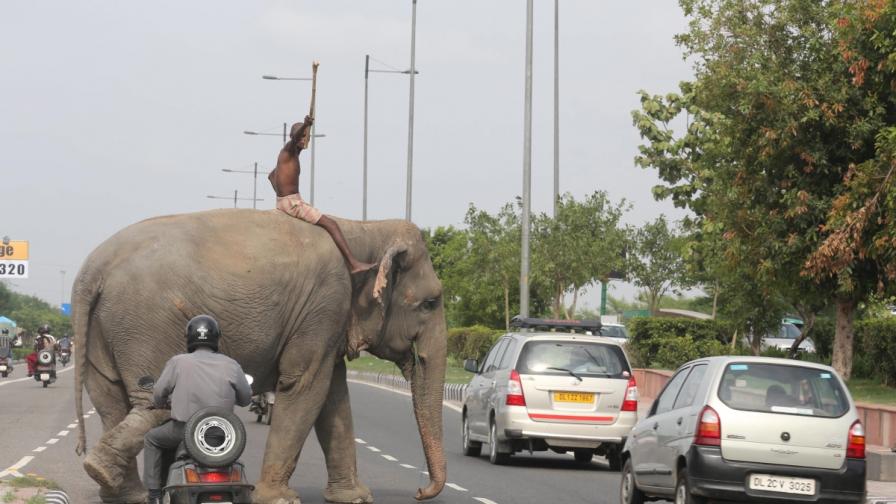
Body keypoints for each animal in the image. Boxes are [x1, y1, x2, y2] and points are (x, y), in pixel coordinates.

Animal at [72, 209, 448, 504]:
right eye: (430, 303)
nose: (420, 492)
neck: (363, 228)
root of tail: (92, 271)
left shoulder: (329, 320)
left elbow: (334, 396)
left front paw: (354, 498)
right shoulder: (324, 305)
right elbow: (306, 386)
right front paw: (279, 499)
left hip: (102, 330)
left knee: (111, 401)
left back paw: (116, 488)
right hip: (146, 324)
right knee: (151, 404)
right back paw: (103, 472)